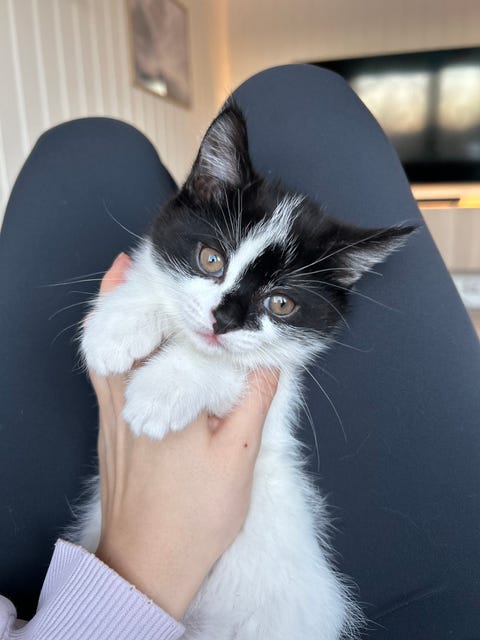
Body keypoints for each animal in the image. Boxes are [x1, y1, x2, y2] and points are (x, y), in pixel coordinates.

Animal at [80, 102, 414, 639]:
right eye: (211, 259)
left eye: (281, 303)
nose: (224, 320)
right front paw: (116, 325)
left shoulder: (278, 390)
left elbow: (231, 367)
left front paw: (159, 393)